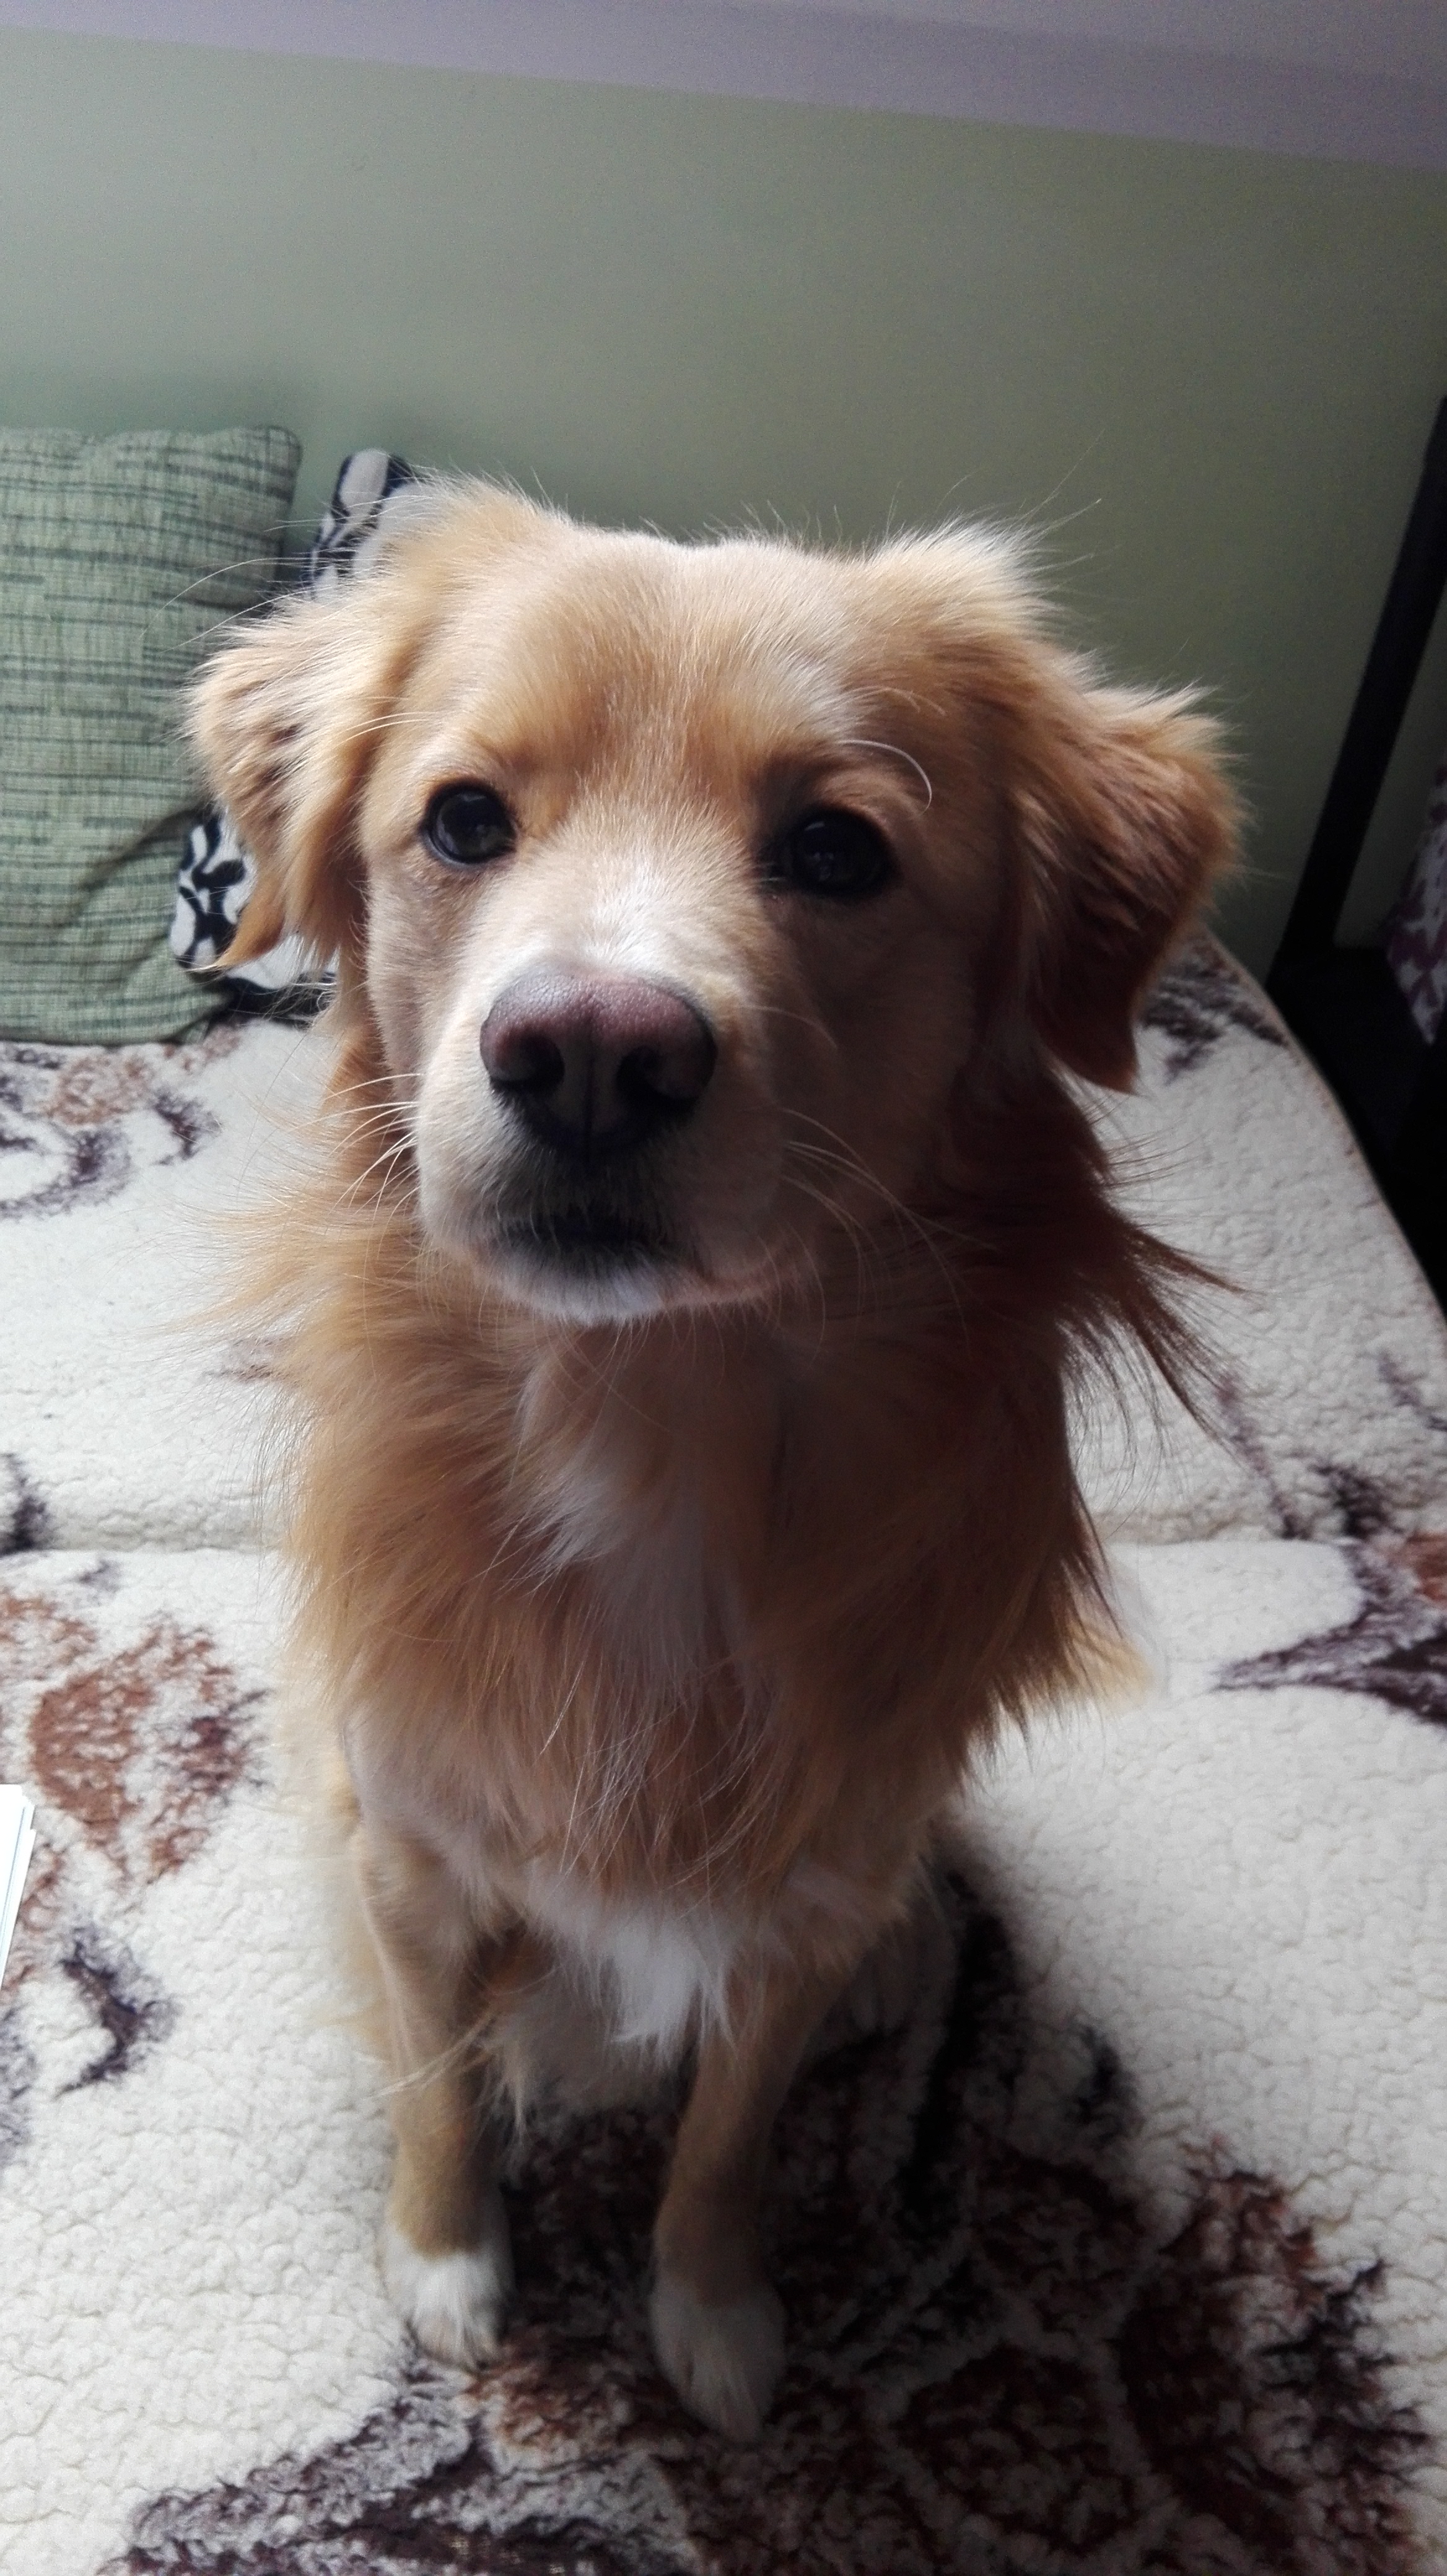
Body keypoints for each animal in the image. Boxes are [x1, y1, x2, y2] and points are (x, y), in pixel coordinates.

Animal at [191, 483, 1234, 2439]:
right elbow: (441, 2081)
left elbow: (727, 2145)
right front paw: (445, 2256)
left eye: (835, 850)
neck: (647, 1413)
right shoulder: (415, 1854)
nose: (590, 1053)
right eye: (463, 820)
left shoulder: (795, 1905)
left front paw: (713, 2309)